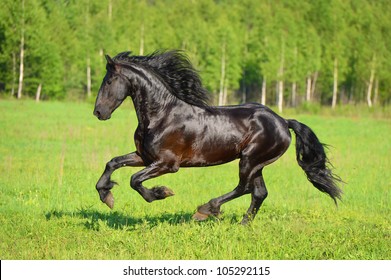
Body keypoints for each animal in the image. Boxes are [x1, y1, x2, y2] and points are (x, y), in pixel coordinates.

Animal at [92, 50, 344, 224]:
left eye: (109, 81)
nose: (98, 112)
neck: (162, 115)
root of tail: (283, 121)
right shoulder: (144, 157)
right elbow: (112, 162)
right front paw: (106, 195)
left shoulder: (167, 164)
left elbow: (135, 180)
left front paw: (161, 193)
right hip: (257, 164)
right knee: (259, 192)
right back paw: (243, 224)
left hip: (250, 160)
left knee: (244, 188)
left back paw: (206, 209)